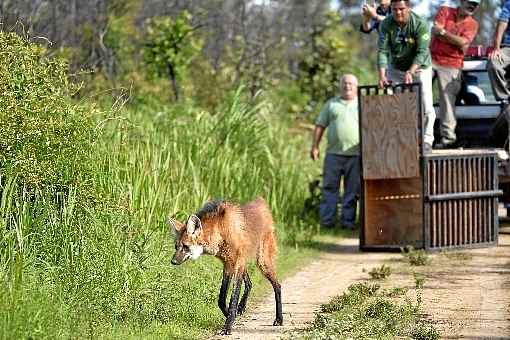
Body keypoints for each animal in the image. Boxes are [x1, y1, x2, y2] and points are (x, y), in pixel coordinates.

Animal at [169, 197, 284, 334]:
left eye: (186, 246)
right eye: (176, 246)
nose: (173, 261)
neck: (220, 231)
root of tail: (261, 202)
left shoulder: (235, 263)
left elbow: (233, 297)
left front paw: (228, 325)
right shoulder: (227, 264)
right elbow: (221, 299)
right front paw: (228, 314)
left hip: (262, 262)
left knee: (277, 285)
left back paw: (279, 319)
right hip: (243, 262)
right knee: (249, 283)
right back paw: (242, 307)